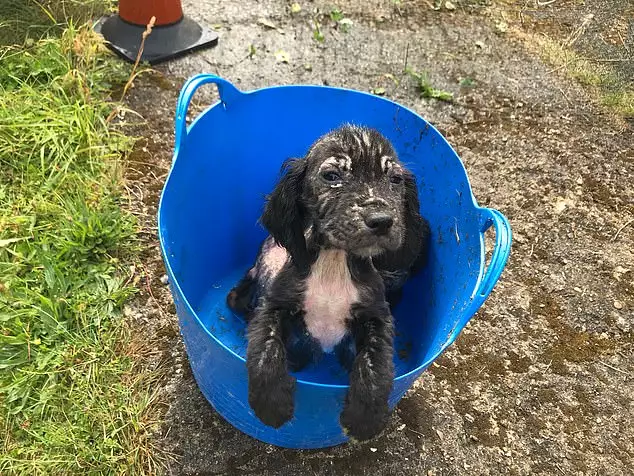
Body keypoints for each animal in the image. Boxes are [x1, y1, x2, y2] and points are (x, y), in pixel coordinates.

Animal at [225, 124, 428, 440]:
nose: (382, 220)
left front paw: (365, 418)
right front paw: (271, 404)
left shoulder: (377, 315)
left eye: (395, 179)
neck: (335, 261)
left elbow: (375, 364)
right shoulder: (275, 304)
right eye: (332, 176)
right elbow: (265, 349)